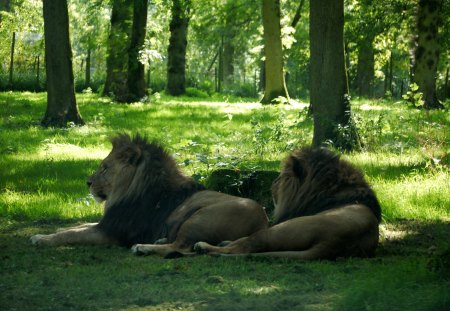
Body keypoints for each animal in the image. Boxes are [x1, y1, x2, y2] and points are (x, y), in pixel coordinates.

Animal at [32, 133, 270, 258]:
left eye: (105, 168)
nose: (87, 183)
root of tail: (263, 222)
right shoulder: (107, 222)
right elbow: (78, 226)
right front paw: (54, 230)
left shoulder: (112, 232)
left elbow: (72, 234)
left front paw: (41, 238)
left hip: (199, 217)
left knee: (182, 247)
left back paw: (143, 247)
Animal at [195, 147, 382, 260]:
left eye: (282, 176)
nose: (273, 182)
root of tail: (333, 243)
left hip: (282, 228)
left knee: (249, 244)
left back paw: (204, 247)